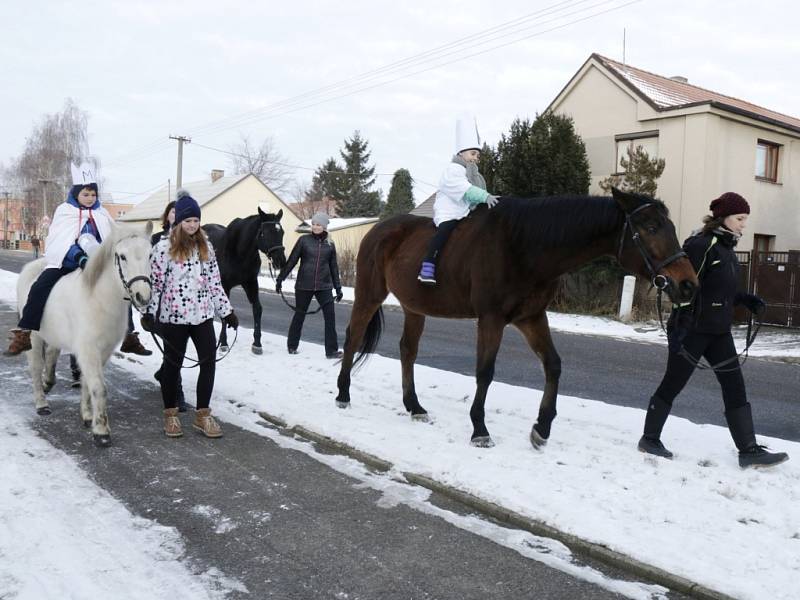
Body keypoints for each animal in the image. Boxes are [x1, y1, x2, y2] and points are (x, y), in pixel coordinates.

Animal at [18, 224, 153, 446]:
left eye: (150, 255)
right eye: (122, 256)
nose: (143, 296)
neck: (98, 299)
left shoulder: (103, 350)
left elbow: (87, 383)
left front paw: (88, 416)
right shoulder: (88, 349)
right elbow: (98, 387)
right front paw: (101, 431)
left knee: (52, 354)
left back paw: (48, 382)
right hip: (34, 336)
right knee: (36, 366)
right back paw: (41, 402)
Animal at [203, 209, 288, 354]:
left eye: (281, 232)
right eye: (266, 233)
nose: (280, 261)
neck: (239, 252)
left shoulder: (251, 283)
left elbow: (257, 309)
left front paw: (257, 343)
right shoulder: (224, 285)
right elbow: (226, 312)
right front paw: (224, 343)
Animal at [334, 190, 696, 448]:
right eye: (651, 228)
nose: (688, 283)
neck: (523, 246)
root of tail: (378, 229)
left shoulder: (531, 317)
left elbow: (553, 364)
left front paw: (542, 427)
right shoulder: (491, 319)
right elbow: (485, 371)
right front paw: (479, 429)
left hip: (414, 307)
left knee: (408, 350)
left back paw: (414, 406)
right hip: (369, 294)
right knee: (353, 337)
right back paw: (343, 394)